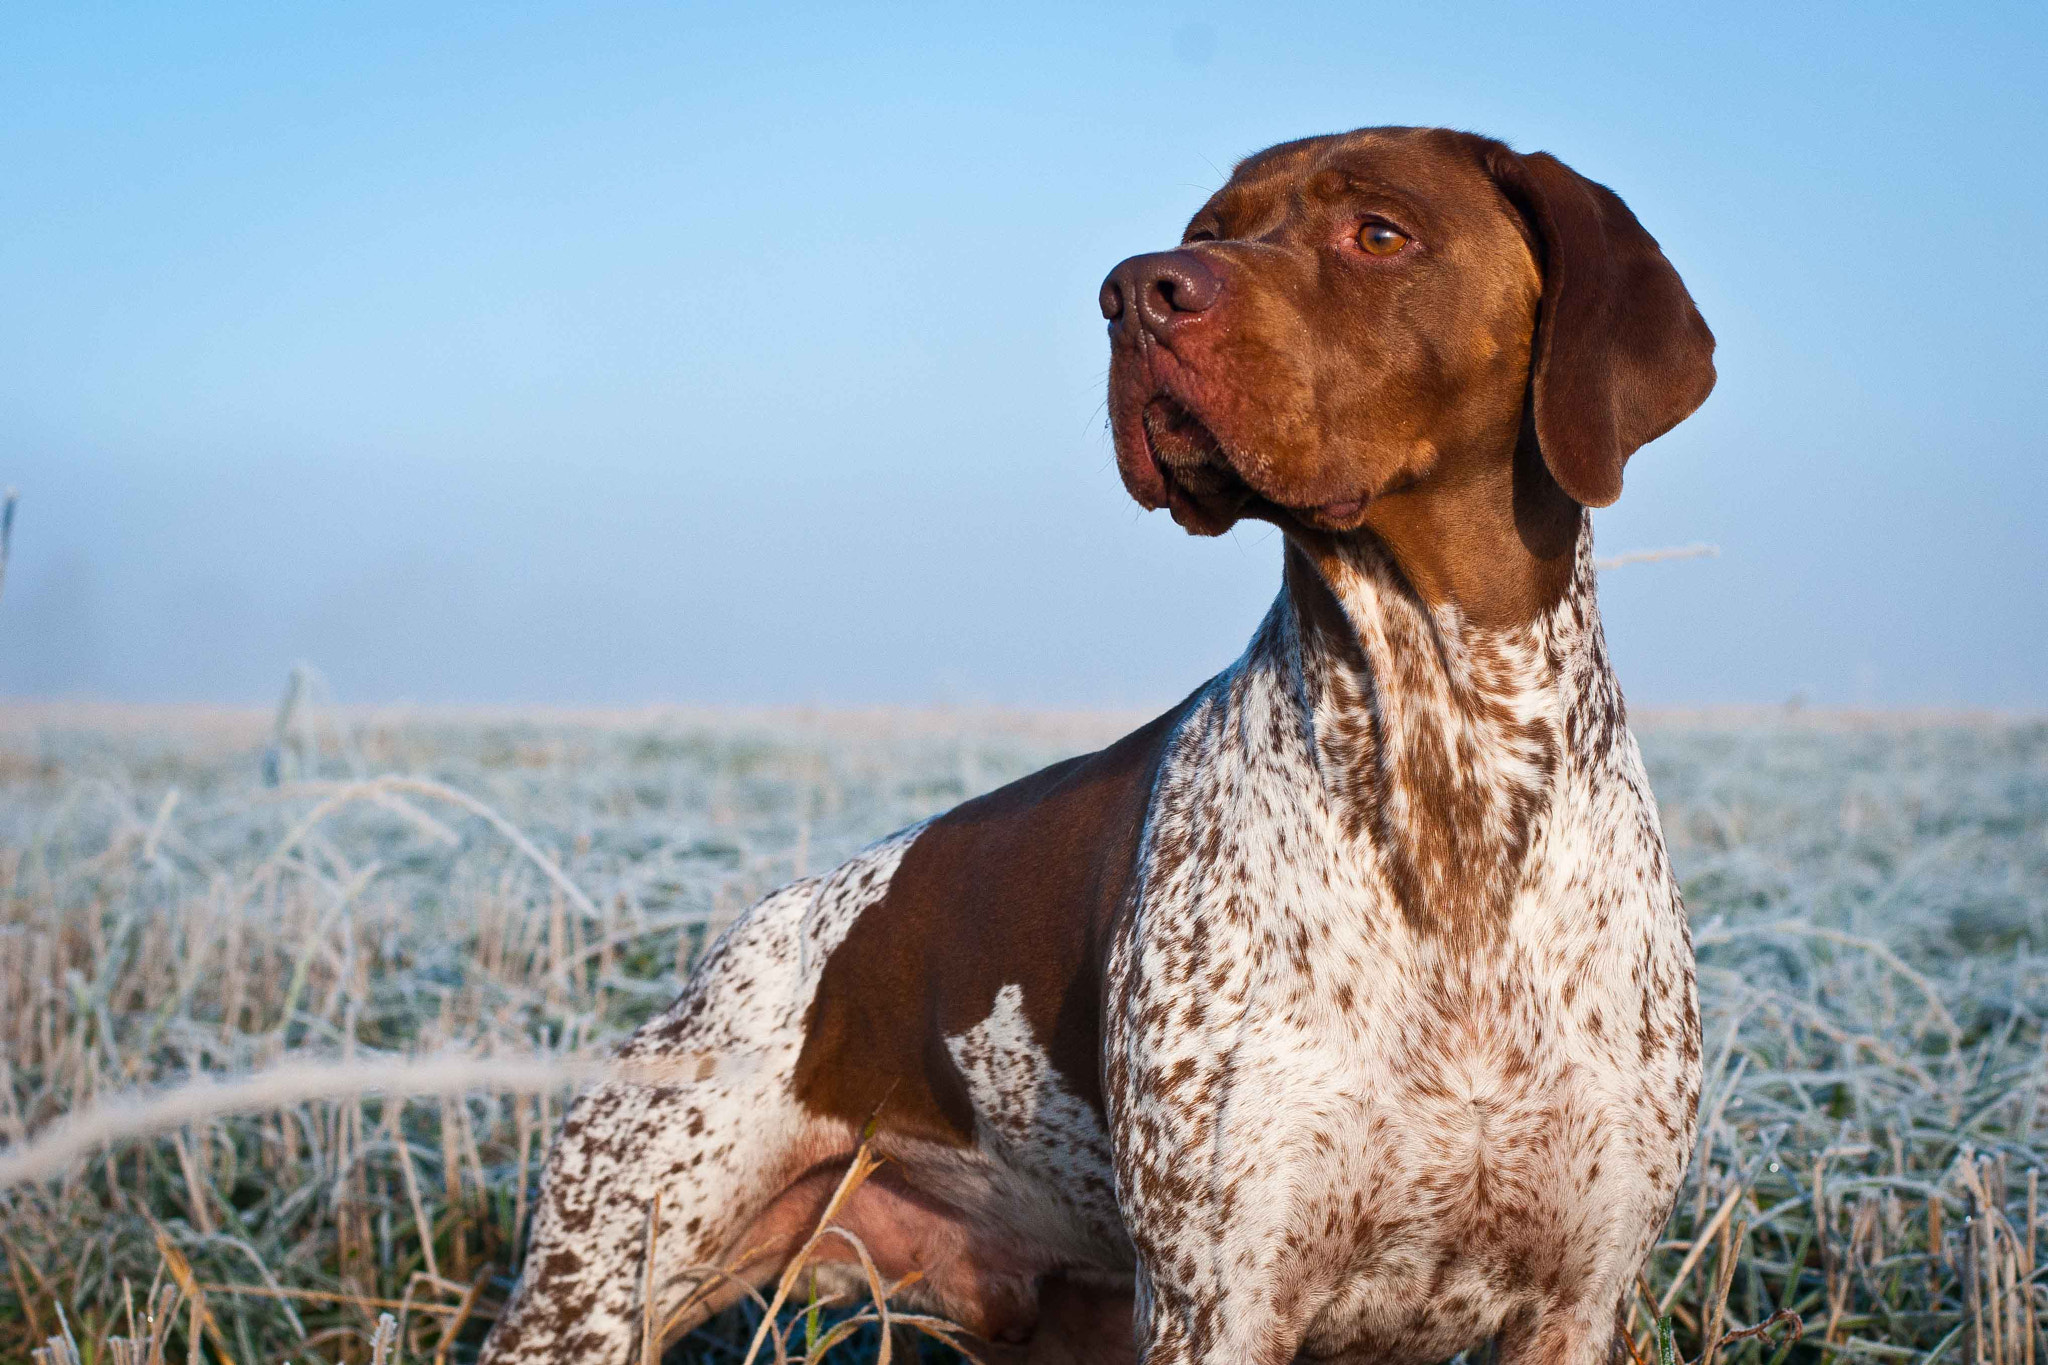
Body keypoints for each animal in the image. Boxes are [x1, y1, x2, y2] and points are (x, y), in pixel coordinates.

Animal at [479, 125, 1712, 1365]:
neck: (1446, 771)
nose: (1135, 292)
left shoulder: (1577, 1302)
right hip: (588, 1291)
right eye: (1207, 229)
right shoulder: (1216, 1304)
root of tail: (730, 956)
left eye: (1377, 234)